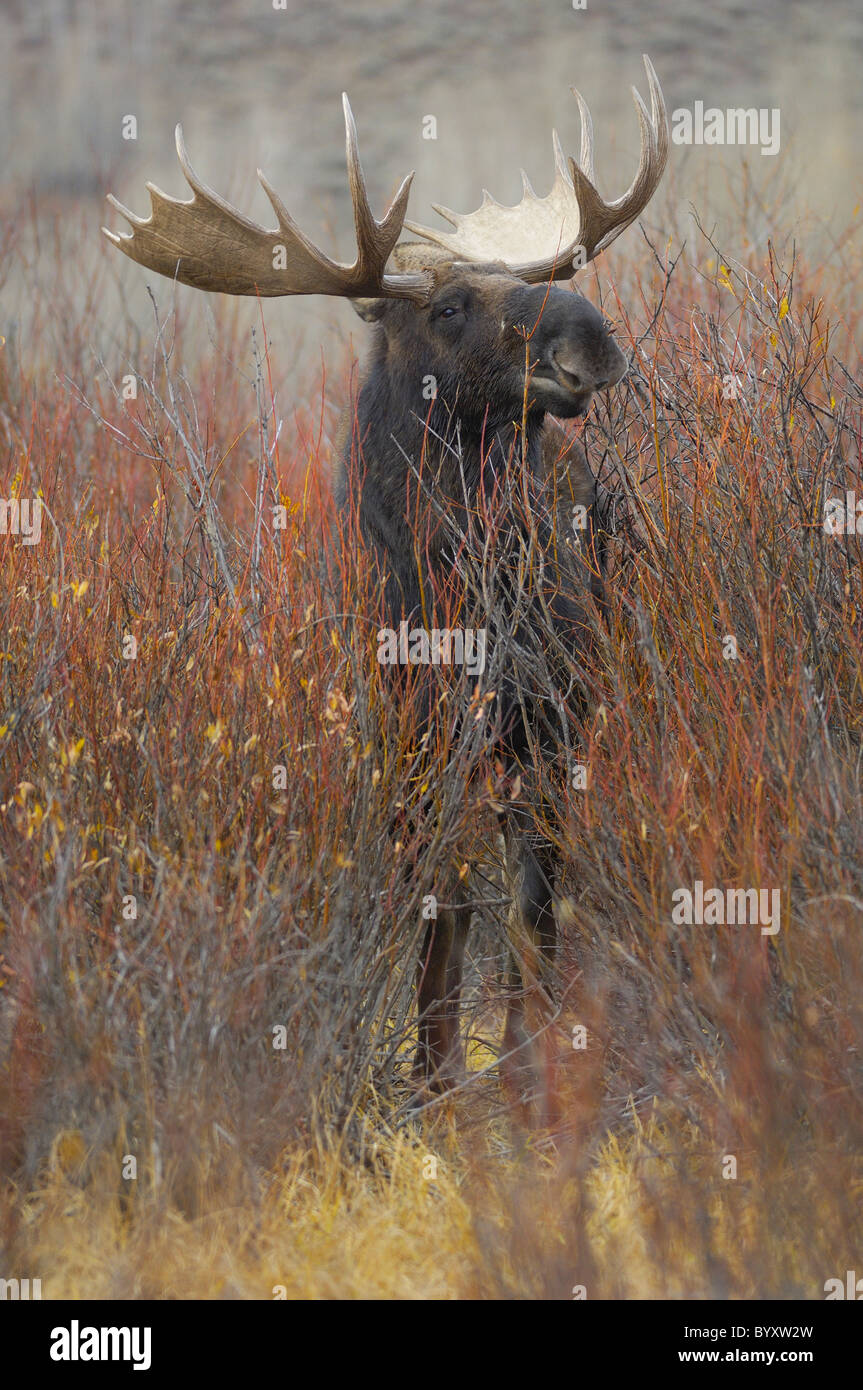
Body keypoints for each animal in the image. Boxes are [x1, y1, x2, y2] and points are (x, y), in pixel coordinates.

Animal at [104, 56, 668, 1108]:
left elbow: (532, 904)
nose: (593, 339)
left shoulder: (548, 719)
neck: (457, 595)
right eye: (446, 307)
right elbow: (437, 904)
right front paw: (429, 1072)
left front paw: (522, 1062)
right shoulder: (404, 733)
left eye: (534, 282)